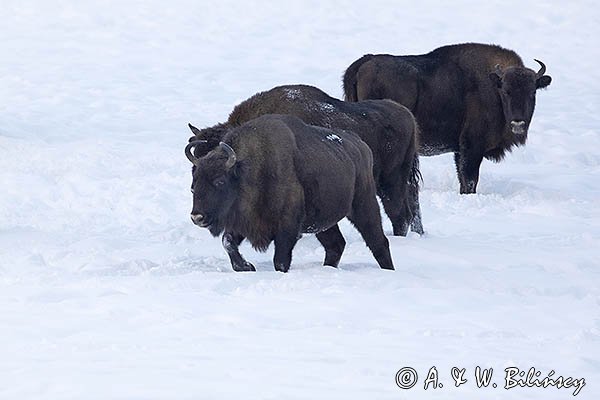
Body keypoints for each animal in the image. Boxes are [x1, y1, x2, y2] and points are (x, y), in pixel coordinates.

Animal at [185, 114, 396, 274]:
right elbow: (227, 242)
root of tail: (361, 146)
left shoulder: (287, 228)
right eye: (193, 185)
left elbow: (280, 259)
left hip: (364, 206)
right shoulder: (242, 223)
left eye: (219, 181)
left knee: (378, 242)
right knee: (336, 245)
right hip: (323, 223)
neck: (249, 170)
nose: (197, 217)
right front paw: (246, 267)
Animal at [342, 43, 552, 193]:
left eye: (533, 92)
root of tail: (364, 63)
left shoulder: (460, 150)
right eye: (506, 91)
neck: (493, 86)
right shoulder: (472, 147)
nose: (518, 122)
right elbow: (470, 180)